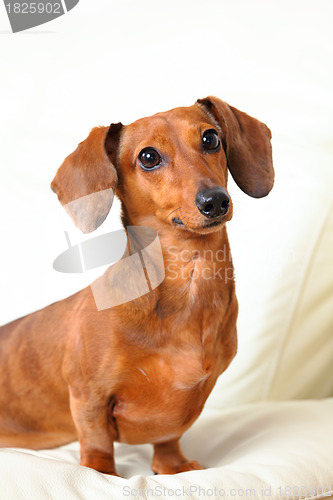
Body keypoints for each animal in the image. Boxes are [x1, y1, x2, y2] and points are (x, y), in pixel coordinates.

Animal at [0, 95, 272, 474]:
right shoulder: (88, 395)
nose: (215, 200)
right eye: (148, 157)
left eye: (211, 139)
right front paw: (100, 473)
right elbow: (97, 440)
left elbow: (169, 438)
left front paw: (174, 466)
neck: (190, 279)